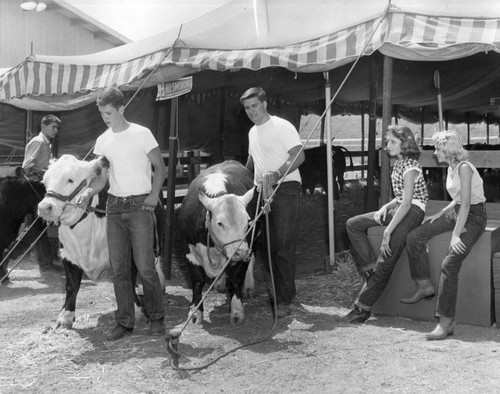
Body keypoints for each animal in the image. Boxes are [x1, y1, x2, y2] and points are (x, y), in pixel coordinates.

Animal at [179, 160, 256, 326]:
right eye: (220, 223)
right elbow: (197, 281)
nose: (241, 251)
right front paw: (195, 313)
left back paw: (248, 287)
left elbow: (236, 280)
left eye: (248, 221)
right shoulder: (188, 252)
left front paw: (236, 311)